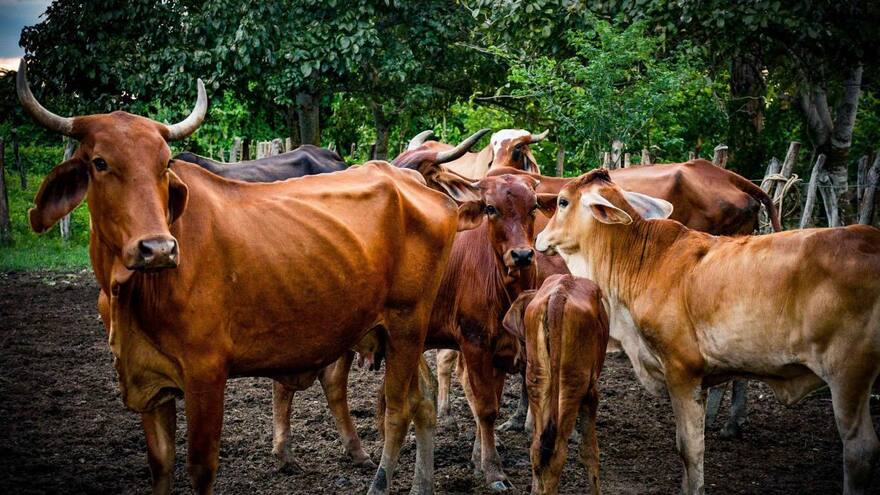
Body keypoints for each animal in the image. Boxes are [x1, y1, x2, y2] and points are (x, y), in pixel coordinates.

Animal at [18, 60, 465, 495]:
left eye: (164, 165)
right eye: (100, 162)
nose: (158, 249)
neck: (132, 294)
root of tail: (409, 179)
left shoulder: (205, 375)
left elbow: (201, 469)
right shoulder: (150, 385)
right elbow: (161, 465)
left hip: (407, 323)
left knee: (399, 410)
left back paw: (379, 481)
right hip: (394, 332)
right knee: (424, 401)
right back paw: (421, 484)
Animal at [502, 275, 610, 495]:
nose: (517, 361)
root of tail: (559, 294)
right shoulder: (591, 395)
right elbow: (590, 451)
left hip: (538, 382)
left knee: (537, 451)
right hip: (572, 388)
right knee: (557, 455)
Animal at [535, 168, 880, 494]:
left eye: (562, 202)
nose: (539, 238)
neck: (643, 260)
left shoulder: (682, 371)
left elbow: (690, 449)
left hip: (848, 374)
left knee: (860, 450)